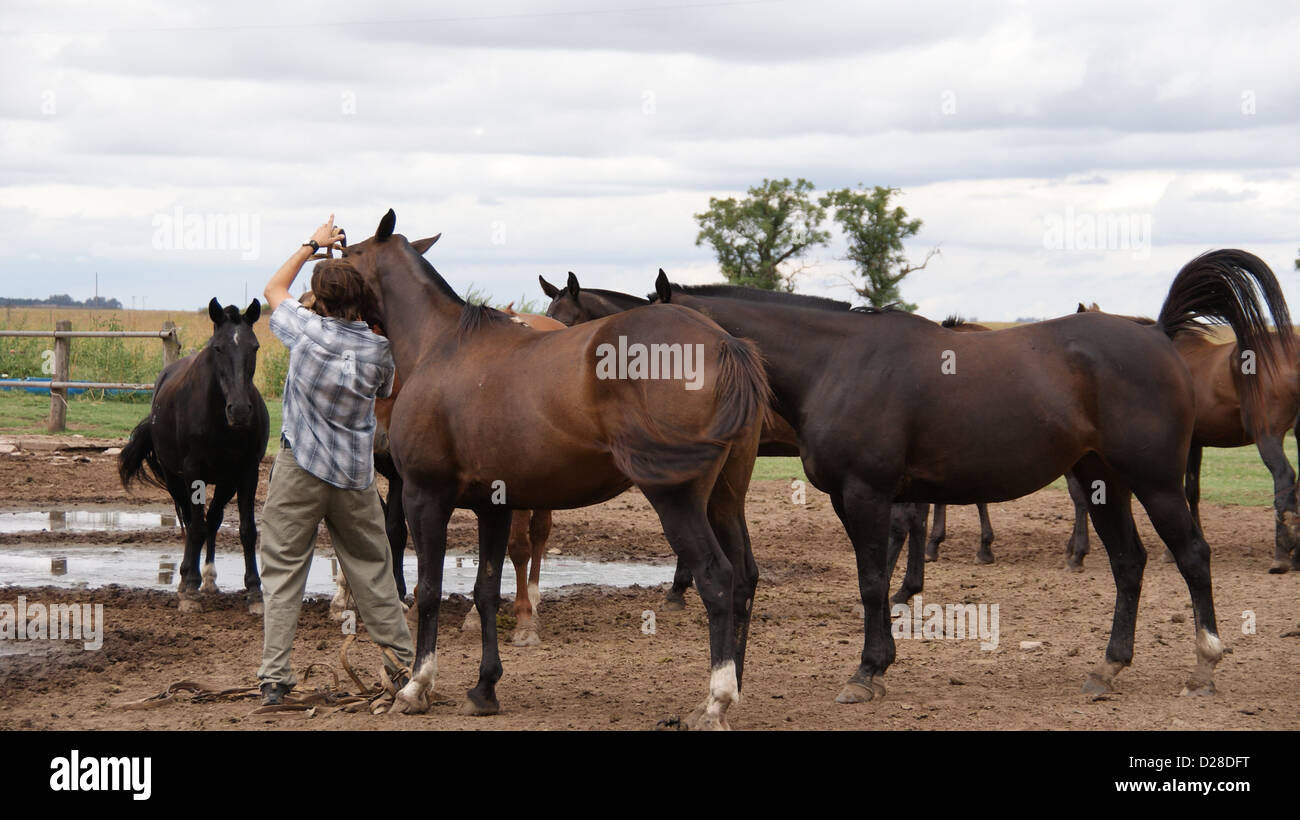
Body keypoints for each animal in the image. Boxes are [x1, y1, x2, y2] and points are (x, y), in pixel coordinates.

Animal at [119, 299, 270, 614]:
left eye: (255, 347)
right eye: (218, 348)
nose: (239, 410)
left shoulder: (247, 472)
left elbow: (247, 530)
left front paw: (254, 592)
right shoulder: (192, 471)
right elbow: (196, 527)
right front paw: (189, 589)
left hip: (225, 482)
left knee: (212, 519)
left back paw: (208, 577)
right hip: (174, 478)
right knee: (191, 521)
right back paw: (187, 576)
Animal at [342, 211, 768, 729]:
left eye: (345, 253)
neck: (440, 345)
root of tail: (724, 342)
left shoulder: (424, 496)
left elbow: (428, 590)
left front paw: (416, 687)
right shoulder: (493, 506)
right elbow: (486, 590)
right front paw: (484, 688)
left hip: (679, 501)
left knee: (717, 578)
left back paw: (715, 700)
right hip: (725, 498)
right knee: (744, 576)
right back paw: (732, 687)